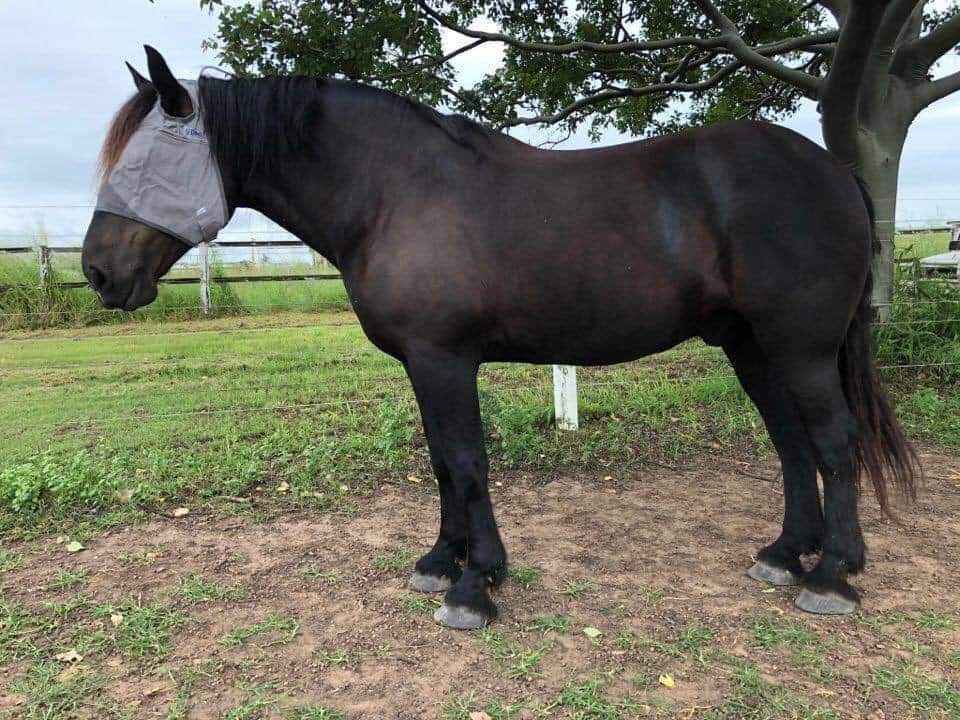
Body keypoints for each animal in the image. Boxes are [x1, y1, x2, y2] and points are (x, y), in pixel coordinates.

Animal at [80, 46, 916, 632]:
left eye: (148, 160)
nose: (97, 271)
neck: (394, 191)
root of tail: (833, 173)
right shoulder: (423, 365)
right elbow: (441, 465)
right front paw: (440, 561)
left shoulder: (444, 359)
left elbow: (466, 463)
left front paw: (474, 588)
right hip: (751, 347)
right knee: (793, 444)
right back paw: (784, 555)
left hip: (801, 349)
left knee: (833, 443)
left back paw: (832, 575)